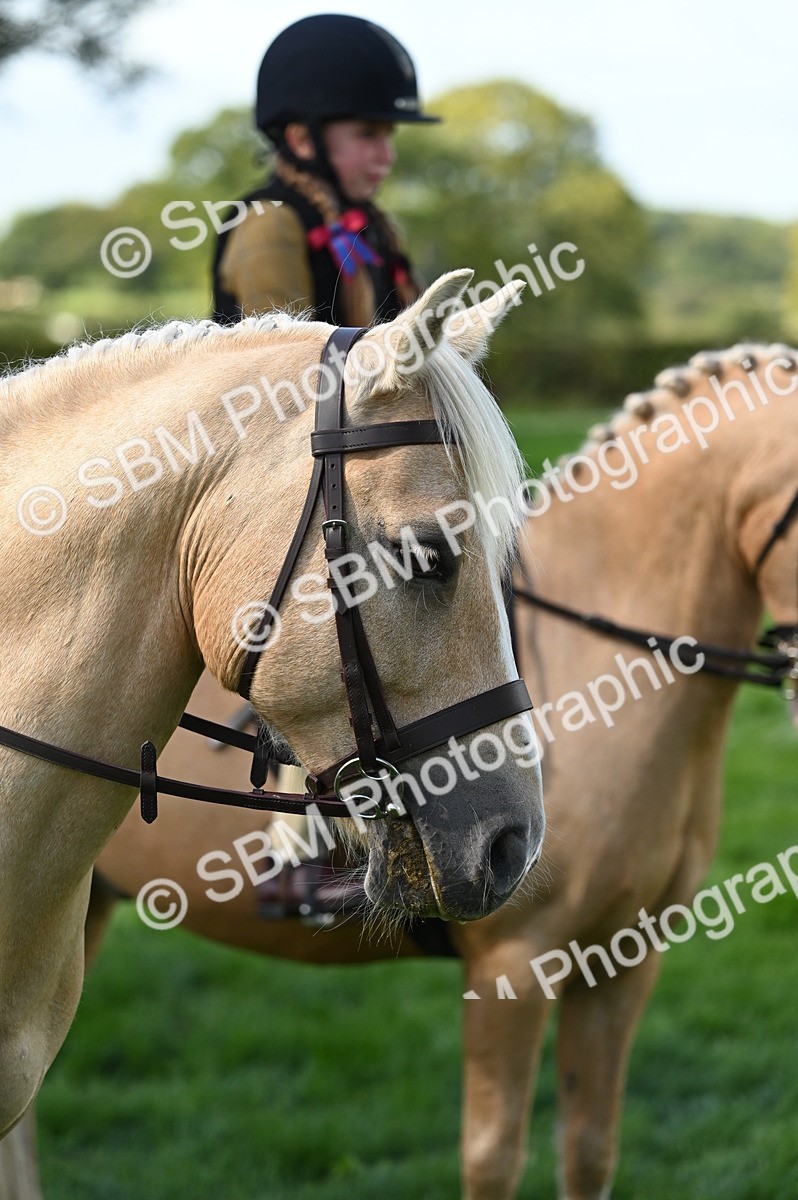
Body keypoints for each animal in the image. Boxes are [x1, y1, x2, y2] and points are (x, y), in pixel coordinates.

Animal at [11, 340, 798, 1198]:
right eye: (427, 555)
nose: (512, 846)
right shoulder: (517, 965)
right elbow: (493, 1158)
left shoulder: (625, 960)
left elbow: (590, 1150)